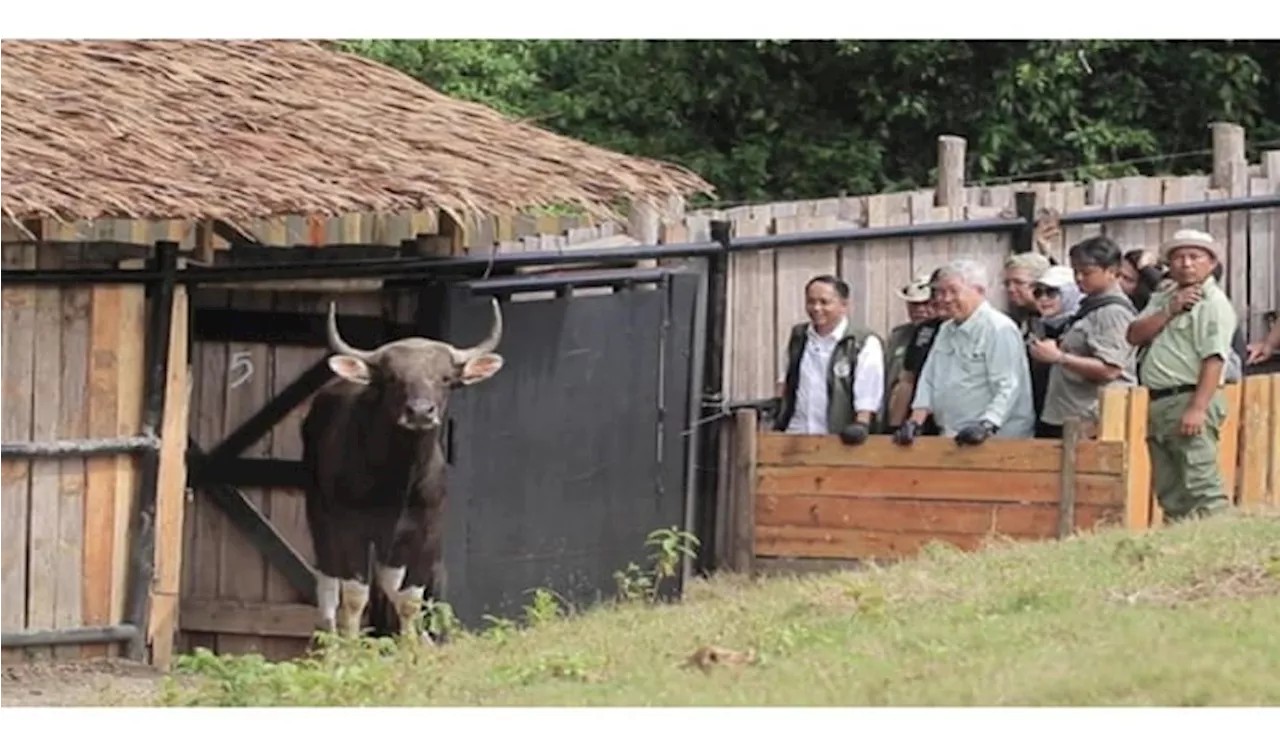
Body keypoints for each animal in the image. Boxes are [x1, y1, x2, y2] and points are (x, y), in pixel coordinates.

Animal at [299, 298, 504, 642]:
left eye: (445, 378)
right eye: (393, 377)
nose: (420, 412)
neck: (398, 479)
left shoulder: (427, 529)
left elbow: (408, 597)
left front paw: (412, 646)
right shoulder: (351, 529)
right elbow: (354, 596)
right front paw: (352, 646)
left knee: (389, 584)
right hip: (319, 515)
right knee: (327, 583)